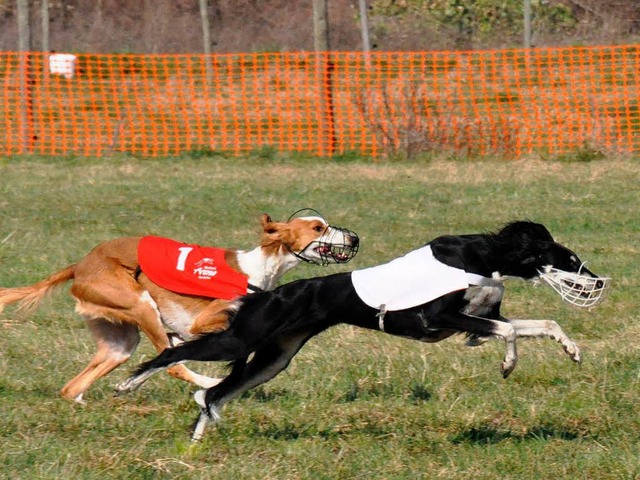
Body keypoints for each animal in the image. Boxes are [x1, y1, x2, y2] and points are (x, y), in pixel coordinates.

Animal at [0, 212, 360, 404]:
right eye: (318, 228)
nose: (354, 239)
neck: (258, 268)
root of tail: (80, 265)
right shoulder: (203, 322)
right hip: (142, 305)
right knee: (172, 363)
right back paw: (207, 383)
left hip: (120, 342)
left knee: (73, 387)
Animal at [116, 220, 608, 438]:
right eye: (568, 260)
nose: (599, 282)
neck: (483, 258)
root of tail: (266, 294)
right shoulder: (439, 319)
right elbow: (509, 336)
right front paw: (508, 365)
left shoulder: (481, 321)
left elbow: (538, 323)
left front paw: (571, 348)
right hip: (242, 339)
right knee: (172, 354)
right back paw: (127, 385)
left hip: (274, 359)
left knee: (213, 395)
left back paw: (196, 444)